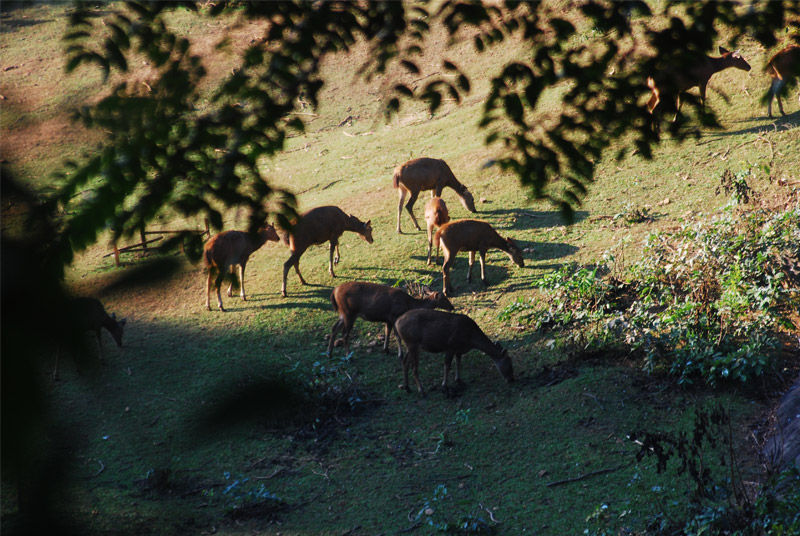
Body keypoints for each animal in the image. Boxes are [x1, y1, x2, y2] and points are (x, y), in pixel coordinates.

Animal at [326, 278, 454, 358]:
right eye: (444, 298)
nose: (452, 307)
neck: (409, 305)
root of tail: (334, 292)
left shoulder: (388, 319)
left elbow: (387, 332)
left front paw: (386, 349)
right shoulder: (394, 315)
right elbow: (397, 335)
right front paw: (400, 354)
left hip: (343, 313)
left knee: (334, 328)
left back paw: (329, 353)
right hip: (349, 312)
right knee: (345, 333)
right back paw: (349, 355)